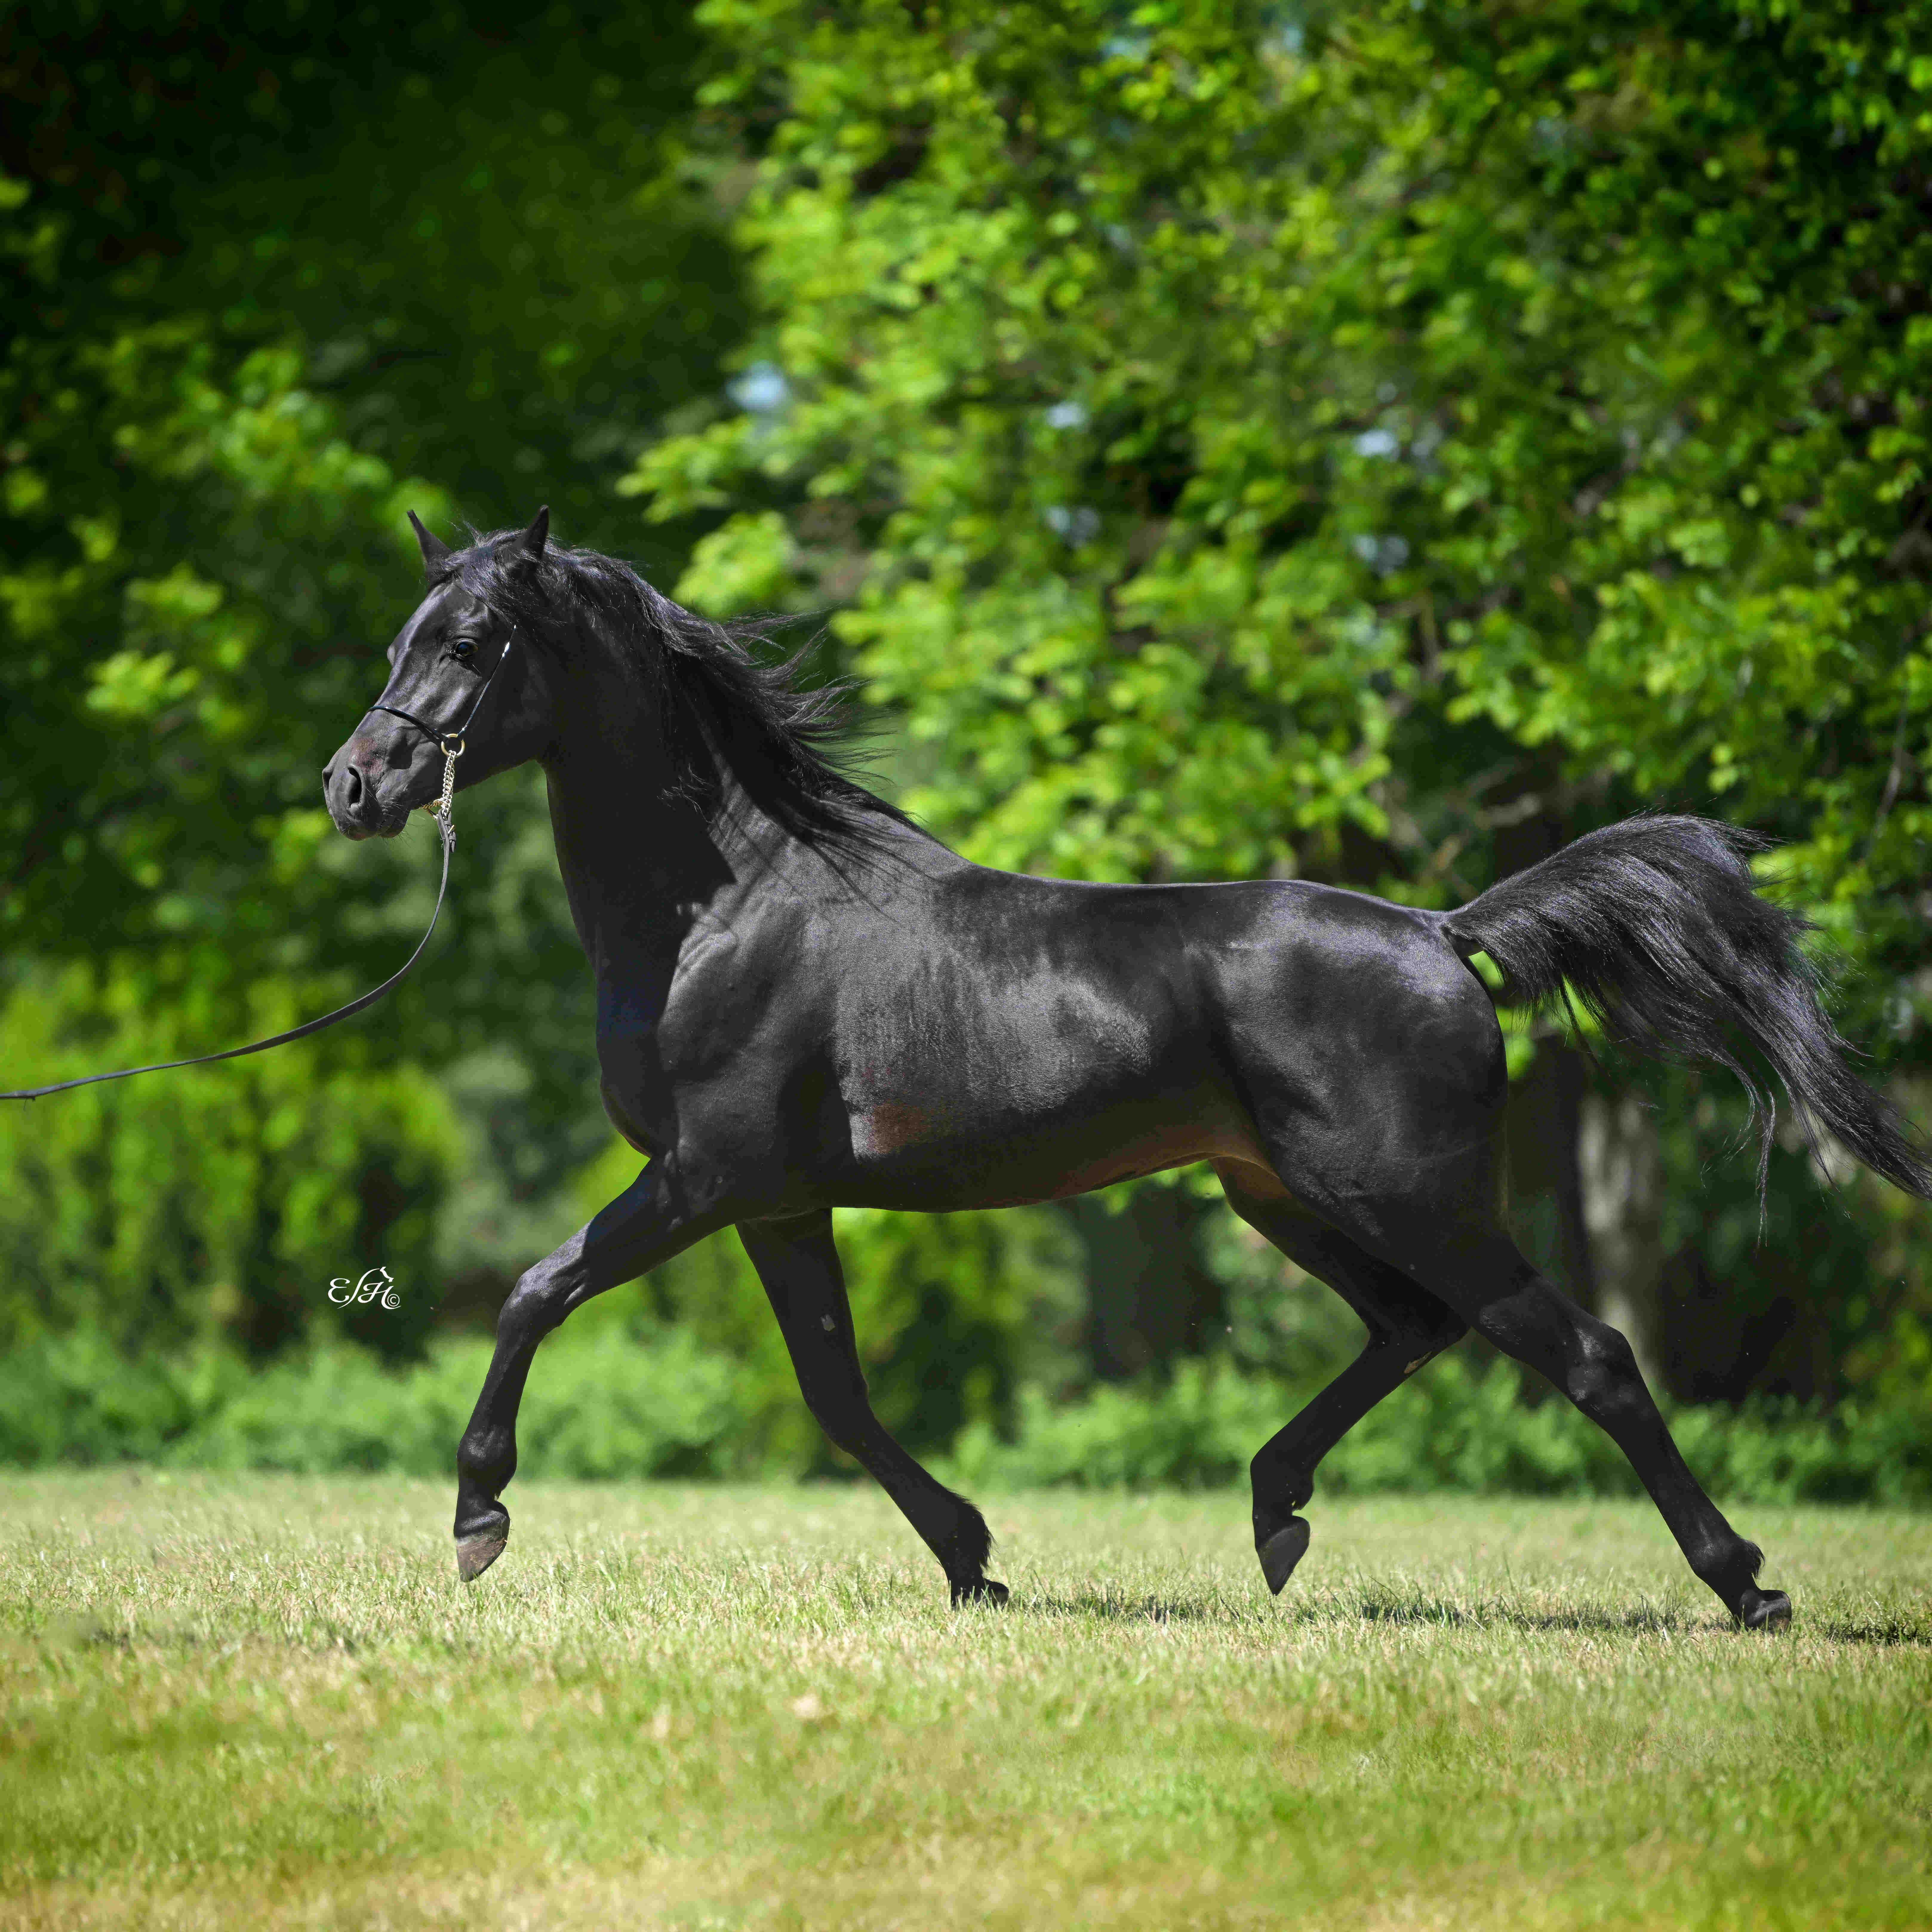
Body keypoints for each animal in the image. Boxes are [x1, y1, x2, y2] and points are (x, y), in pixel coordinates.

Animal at [322, 508, 1931, 1629]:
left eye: (473, 639)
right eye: (401, 632)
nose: (354, 786)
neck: (726, 902)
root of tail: (1442, 932)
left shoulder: (703, 1173)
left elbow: (537, 1288)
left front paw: (477, 1512)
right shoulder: (775, 1200)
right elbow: (836, 1392)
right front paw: (974, 1559)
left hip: (1406, 1195)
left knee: (1585, 1354)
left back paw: (1746, 1583)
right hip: (1279, 1193)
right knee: (1413, 1327)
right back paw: (1275, 1514)